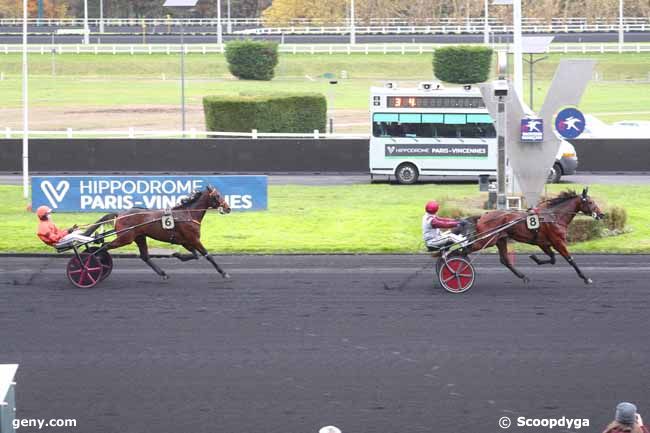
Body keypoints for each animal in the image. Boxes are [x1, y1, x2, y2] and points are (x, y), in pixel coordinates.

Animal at [83, 185, 230, 280]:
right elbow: (207, 255)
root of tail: (120, 214)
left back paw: (163, 273)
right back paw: (91, 263)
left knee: (145, 256)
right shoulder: (194, 239)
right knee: (104, 246)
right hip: (126, 238)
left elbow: (195, 255)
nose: (228, 208)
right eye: (217, 195)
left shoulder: (186, 241)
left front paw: (177, 255)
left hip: (139, 237)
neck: (187, 214)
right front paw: (224, 273)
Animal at [466, 186, 604, 284]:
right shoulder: (558, 242)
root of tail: (483, 216)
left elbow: (553, 259)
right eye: (590, 202)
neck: (554, 217)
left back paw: (523, 277)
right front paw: (585, 278)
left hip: (500, 240)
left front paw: (535, 258)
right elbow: (570, 259)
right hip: (486, 240)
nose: (601, 214)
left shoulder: (544, 243)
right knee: (466, 249)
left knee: (505, 260)